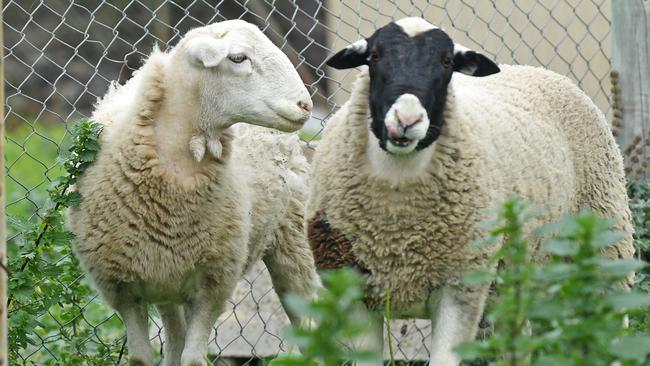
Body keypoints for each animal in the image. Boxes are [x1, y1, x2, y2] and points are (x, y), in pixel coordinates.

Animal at [306, 17, 632, 366]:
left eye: (447, 62)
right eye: (375, 57)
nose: (407, 119)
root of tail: (539, 70)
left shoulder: (461, 287)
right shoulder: (353, 289)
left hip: (606, 245)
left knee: (613, 328)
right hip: (516, 284)